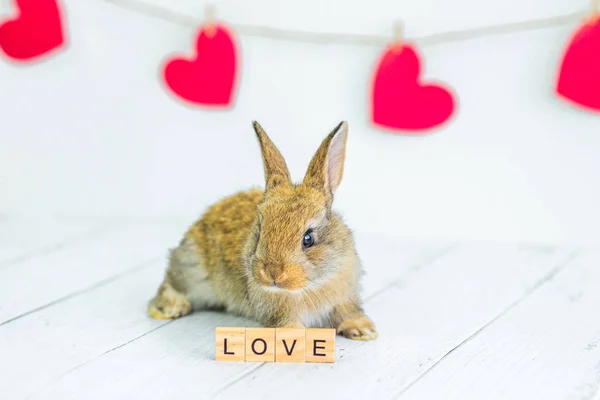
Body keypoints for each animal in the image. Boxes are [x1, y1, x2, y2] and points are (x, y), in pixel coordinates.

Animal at [148, 120, 378, 340]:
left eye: (308, 238)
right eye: (260, 230)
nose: (272, 273)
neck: (312, 284)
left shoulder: (346, 296)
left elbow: (347, 313)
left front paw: (363, 331)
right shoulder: (276, 311)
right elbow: (286, 324)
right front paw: (292, 338)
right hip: (191, 269)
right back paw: (169, 309)